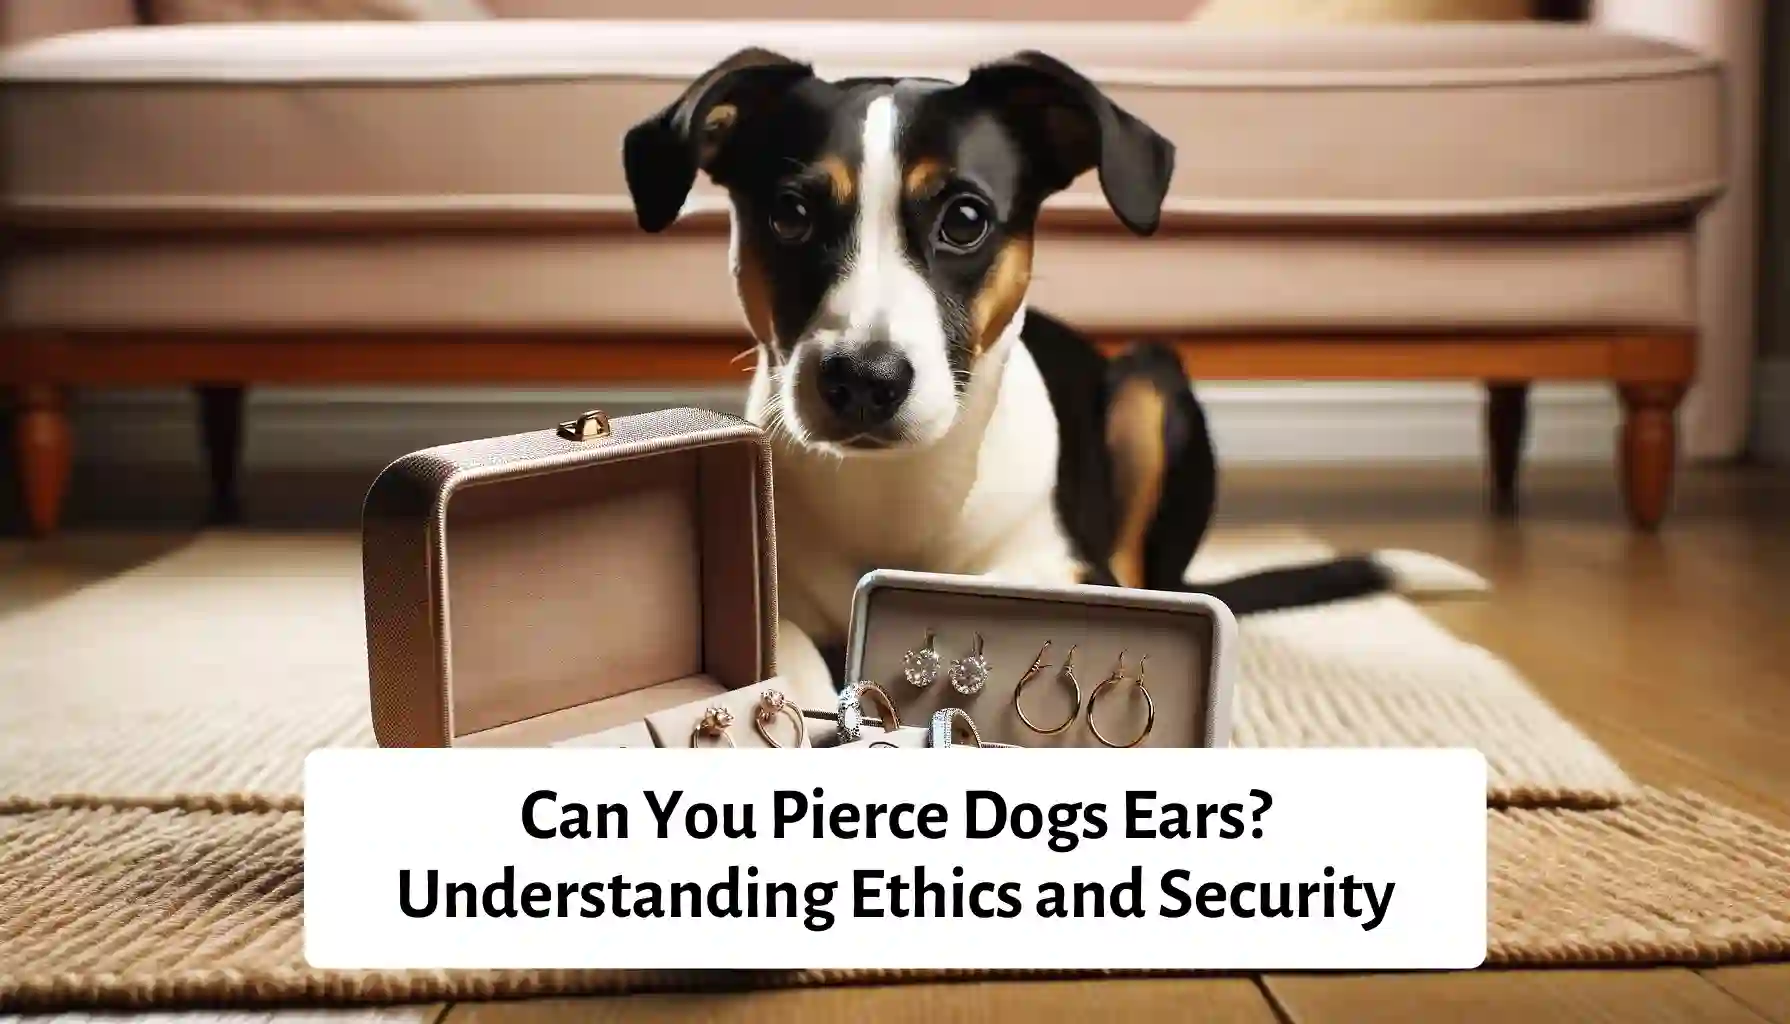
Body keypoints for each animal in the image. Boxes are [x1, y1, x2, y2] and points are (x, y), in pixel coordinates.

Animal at [622, 47, 1489, 705]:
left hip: (1151, 385)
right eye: (791, 215)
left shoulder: (1068, 561)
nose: (864, 380)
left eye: (965, 219)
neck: (898, 488)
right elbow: (787, 640)